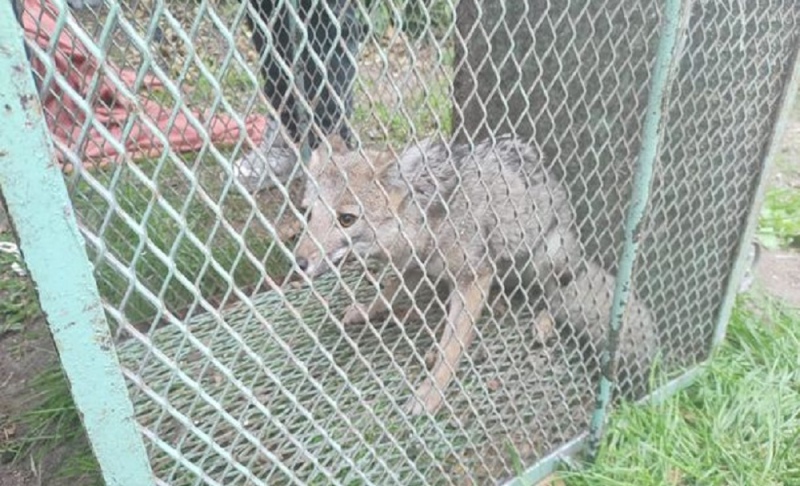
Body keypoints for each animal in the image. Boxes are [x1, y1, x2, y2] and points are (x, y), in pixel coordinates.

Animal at [294, 136, 656, 414]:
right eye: (307, 213)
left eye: (346, 219)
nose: (298, 262)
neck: (429, 216)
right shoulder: (417, 265)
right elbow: (390, 290)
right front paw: (367, 310)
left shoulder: (474, 277)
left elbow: (452, 347)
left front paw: (430, 394)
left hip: (548, 254)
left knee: (554, 296)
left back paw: (542, 322)